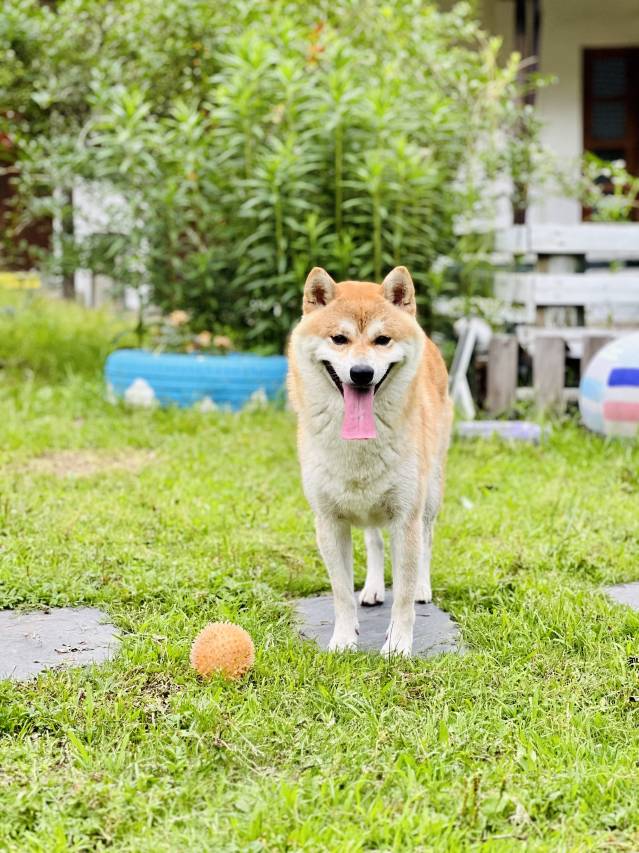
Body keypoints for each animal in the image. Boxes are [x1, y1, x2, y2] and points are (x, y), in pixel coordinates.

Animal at [288, 270, 452, 656]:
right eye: (339, 338)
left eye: (382, 340)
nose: (361, 372)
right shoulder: (329, 521)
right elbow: (341, 593)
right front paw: (343, 640)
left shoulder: (406, 517)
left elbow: (403, 597)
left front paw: (398, 646)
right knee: (375, 543)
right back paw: (374, 588)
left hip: (430, 493)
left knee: (427, 540)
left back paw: (423, 587)